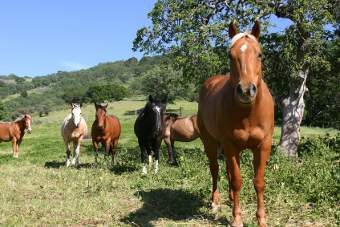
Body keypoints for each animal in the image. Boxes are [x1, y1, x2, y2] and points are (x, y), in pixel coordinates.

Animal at [198, 20, 274, 226]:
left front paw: (261, 219)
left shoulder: (263, 146)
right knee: (215, 169)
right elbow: (237, 181)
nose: (246, 90)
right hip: (210, 142)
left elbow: (259, 182)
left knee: (227, 171)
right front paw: (237, 219)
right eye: (230, 55)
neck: (248, 113)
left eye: (259, 54)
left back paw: (231, 199)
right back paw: (215, 202)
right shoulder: (230, 145)